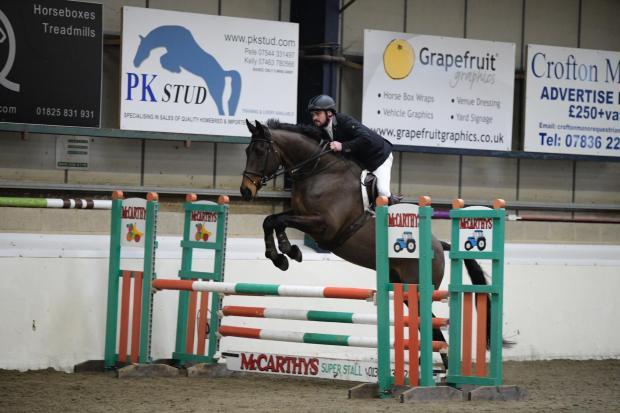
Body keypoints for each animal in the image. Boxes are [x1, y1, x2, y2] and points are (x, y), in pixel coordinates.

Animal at [239, 117, 494, 362]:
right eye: (247, 151)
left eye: (260, 151)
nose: (245, 191)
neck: (318, 170)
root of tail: (440, 246)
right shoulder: (303, 216)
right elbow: (272, 220)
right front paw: (282, 255)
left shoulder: (324, 226)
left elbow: (277, 221)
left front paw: (286, 251)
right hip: (404, 289)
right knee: (431, 329)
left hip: (419, 289)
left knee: (434, 329)